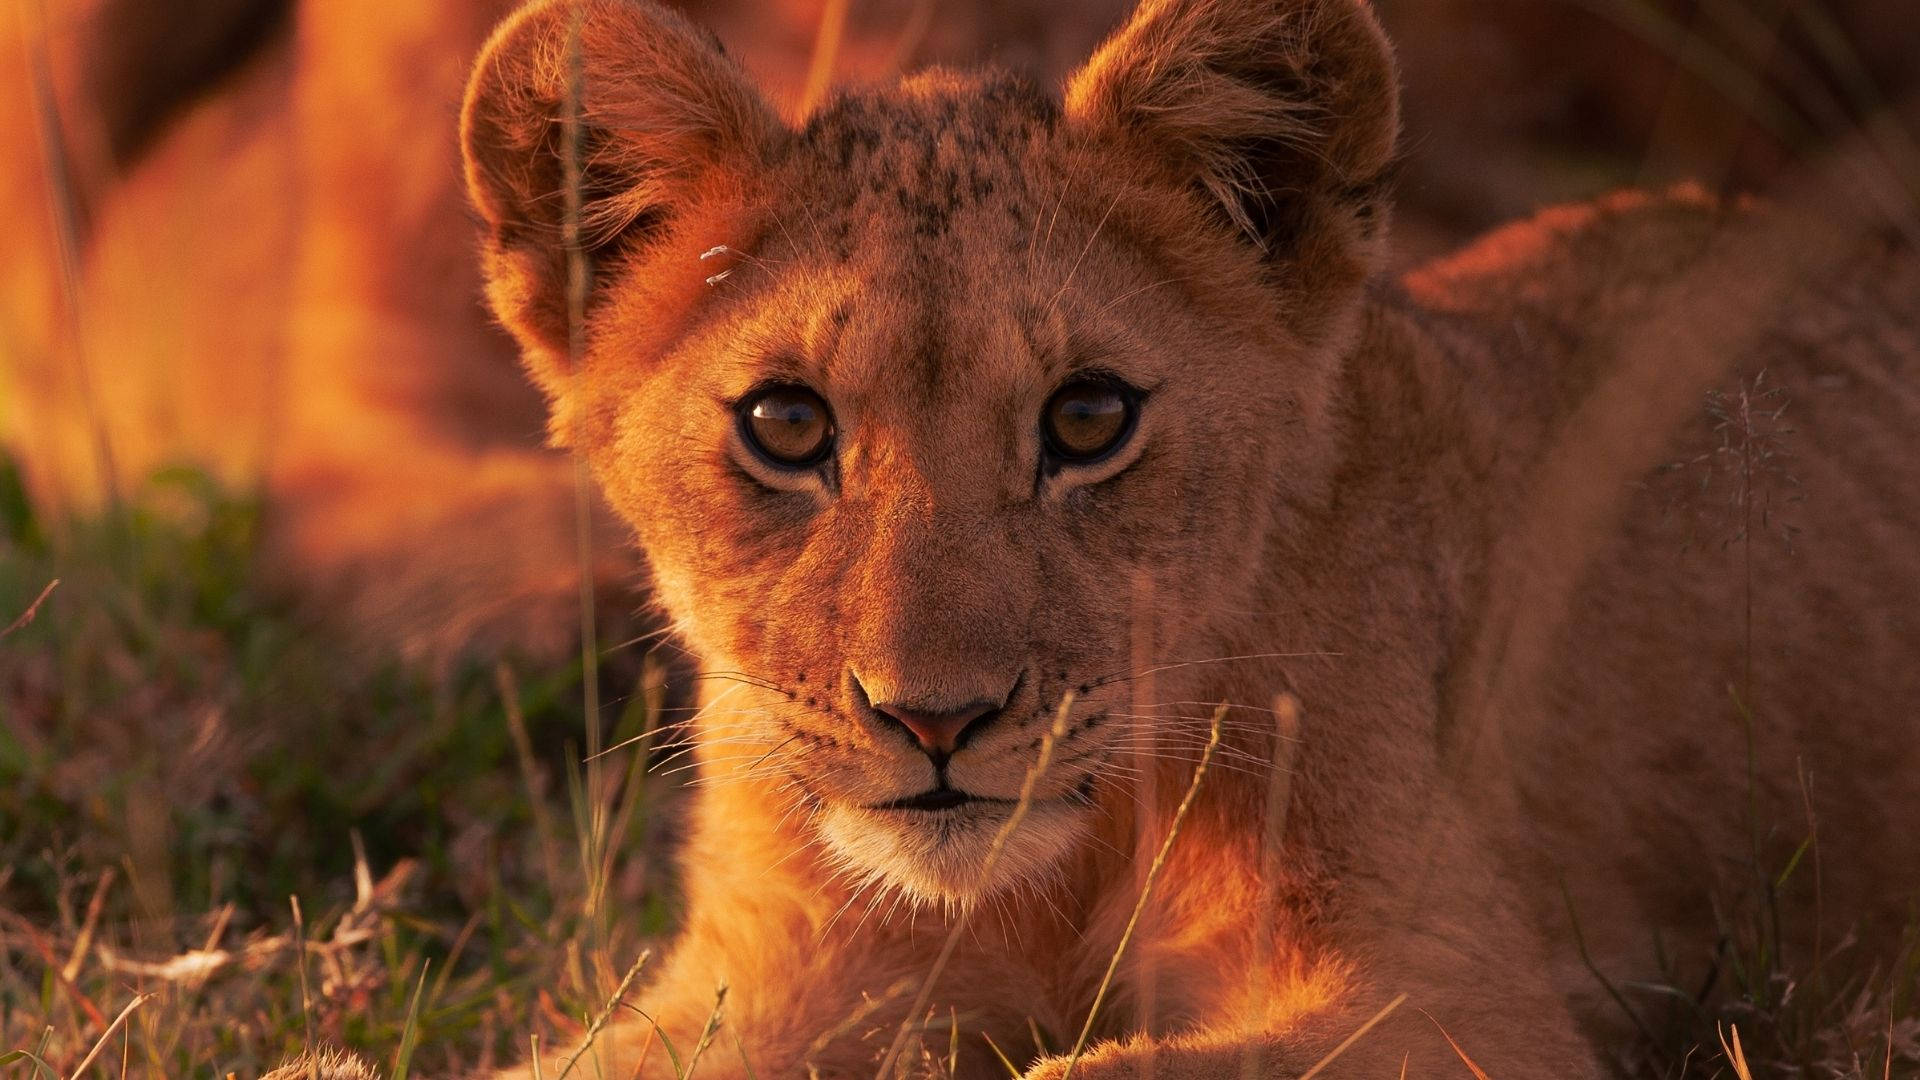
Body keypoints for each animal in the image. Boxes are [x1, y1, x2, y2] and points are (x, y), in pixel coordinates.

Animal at [451, 0, 1920, 1075]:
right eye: (787, 424)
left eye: (1089, 417)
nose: (937, 722)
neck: (1053, 880)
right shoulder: (766, 977)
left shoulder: (1462, 998)